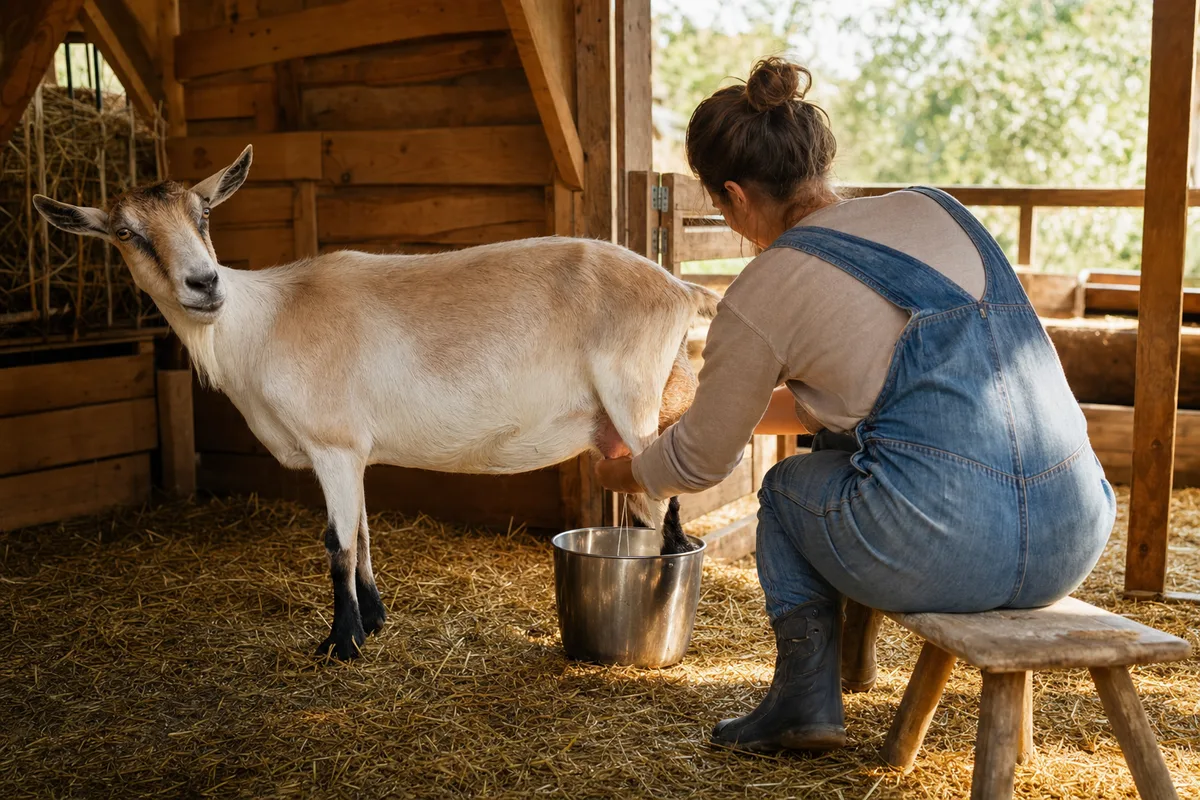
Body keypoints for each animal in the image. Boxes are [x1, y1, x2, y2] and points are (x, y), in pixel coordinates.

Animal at [34, 145, 720, 661]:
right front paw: (374, 618)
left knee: (662, 515)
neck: (263, 322)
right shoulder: (353, 451)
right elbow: (362, 533)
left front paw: (342, 644)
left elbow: (337, 543)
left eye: (203, 215)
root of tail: (681, 288)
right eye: (126, 233)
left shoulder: (332, 443)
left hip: (634, 402)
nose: (204, 284)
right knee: (660, 514)